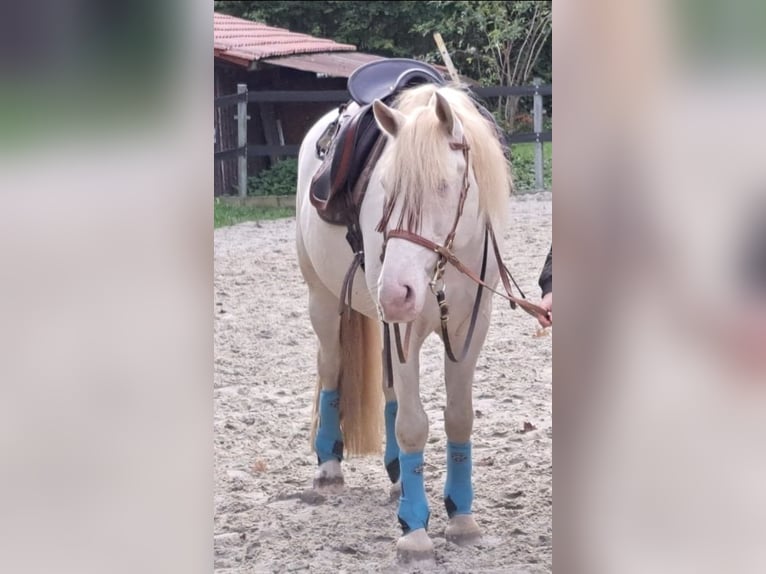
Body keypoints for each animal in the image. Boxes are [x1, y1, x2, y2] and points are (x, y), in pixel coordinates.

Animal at [295, 81, 517, 561]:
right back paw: (328, 467)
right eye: (385, 188)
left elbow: (458, 417)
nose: (396, 293)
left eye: (444, 186)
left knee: (390, 390)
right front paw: (415, 529)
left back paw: (398, 477)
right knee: (331, 370)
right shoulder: (404, 328)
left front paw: (461, 517)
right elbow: (414, 425)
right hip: (324, 302)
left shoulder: (470, 328)